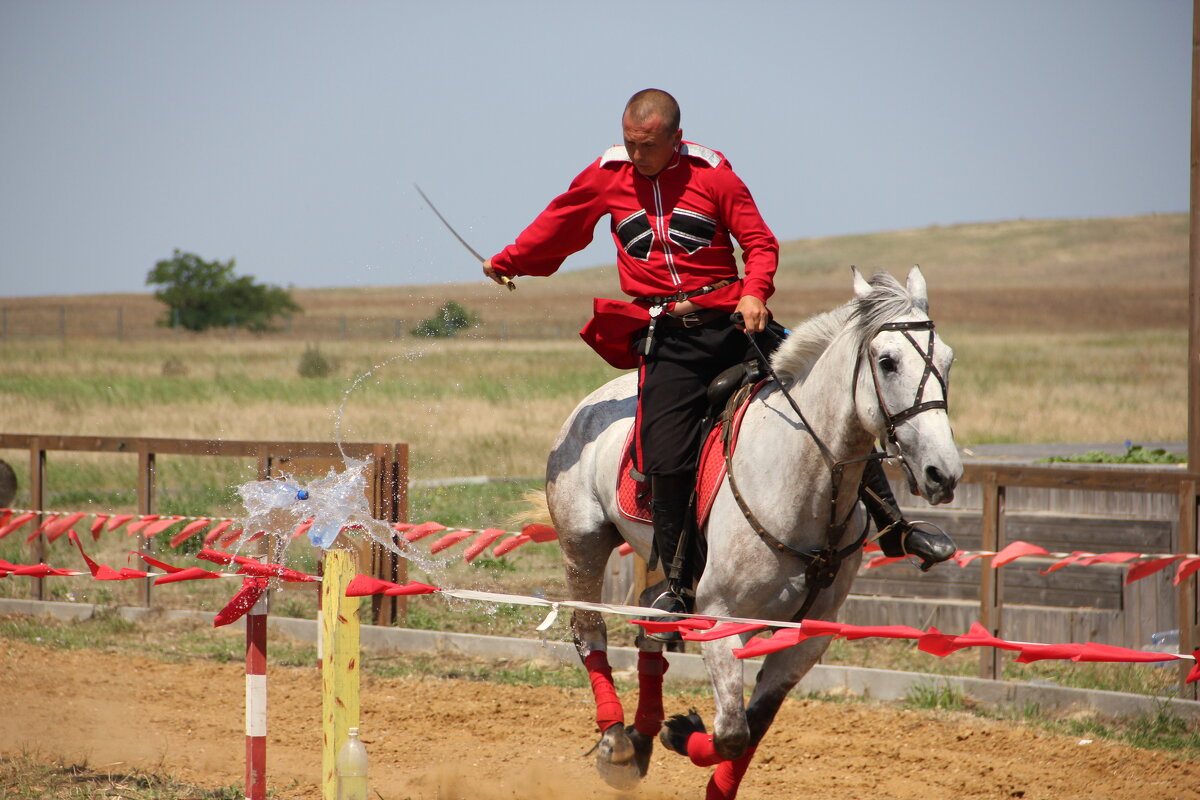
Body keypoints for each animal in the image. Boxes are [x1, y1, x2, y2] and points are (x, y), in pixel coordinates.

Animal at [549, 267, 960, 796]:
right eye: (887, 363)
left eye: (947, 360)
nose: (942, 473)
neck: (802, 483)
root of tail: (592, 403)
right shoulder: (720, 618)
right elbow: (730, 732)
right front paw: (682, 732)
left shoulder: (807, 637)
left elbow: (753, 727)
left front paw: (695, 758)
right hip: (583, 542)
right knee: (589, 629)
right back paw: (615, 742)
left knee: (650, 626)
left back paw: (639, 738)